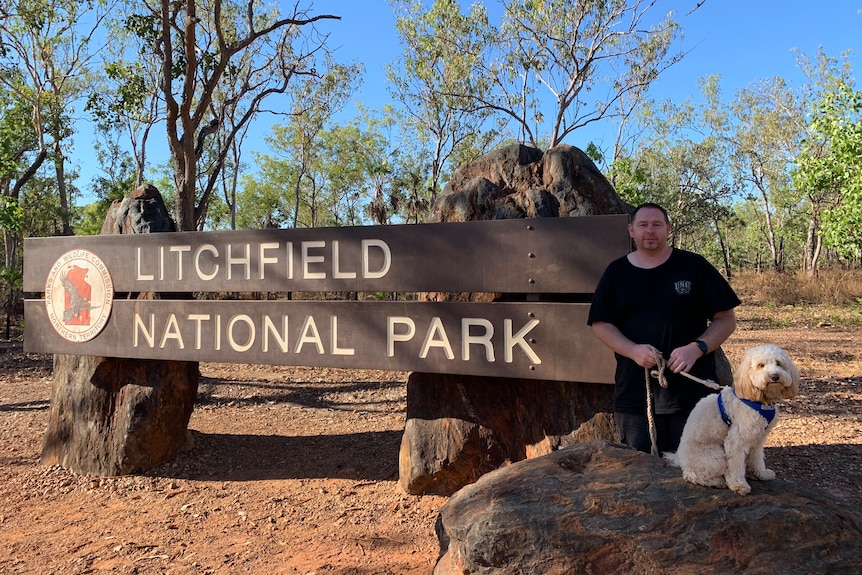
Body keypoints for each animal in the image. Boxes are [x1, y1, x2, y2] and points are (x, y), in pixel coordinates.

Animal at [668, 344, 804, 498]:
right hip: (715, 457)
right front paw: (739, 485)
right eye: (761, 365)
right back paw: (716, 481)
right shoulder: (736, 441)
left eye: (779, 363)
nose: (775, 376)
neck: (760, 400)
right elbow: (736, 465)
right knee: (692, 475)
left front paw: (761, 473)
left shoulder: (758, 438)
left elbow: (757, 458)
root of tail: (680, 459)